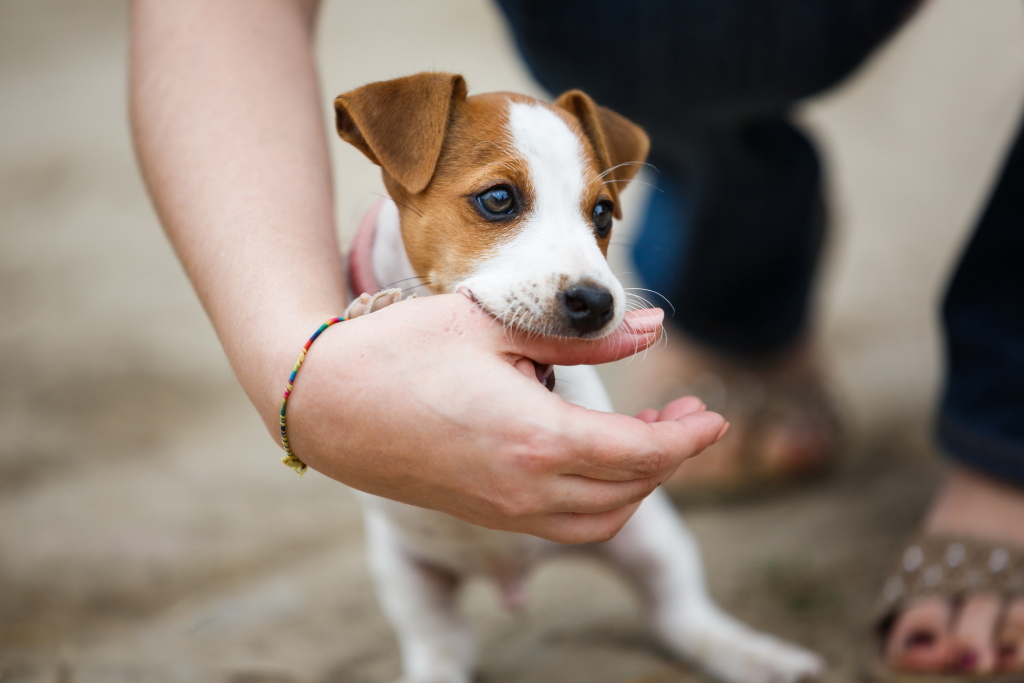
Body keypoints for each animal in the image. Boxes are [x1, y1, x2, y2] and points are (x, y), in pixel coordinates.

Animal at [335, 70, 823, 683]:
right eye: (498, 199)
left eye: (603, 214)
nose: (596, 303)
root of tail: (512, 571)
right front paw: (374, 316)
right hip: (408, 578)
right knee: (440, 647)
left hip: (650, 539)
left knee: (680, 615)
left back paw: (753, 654)